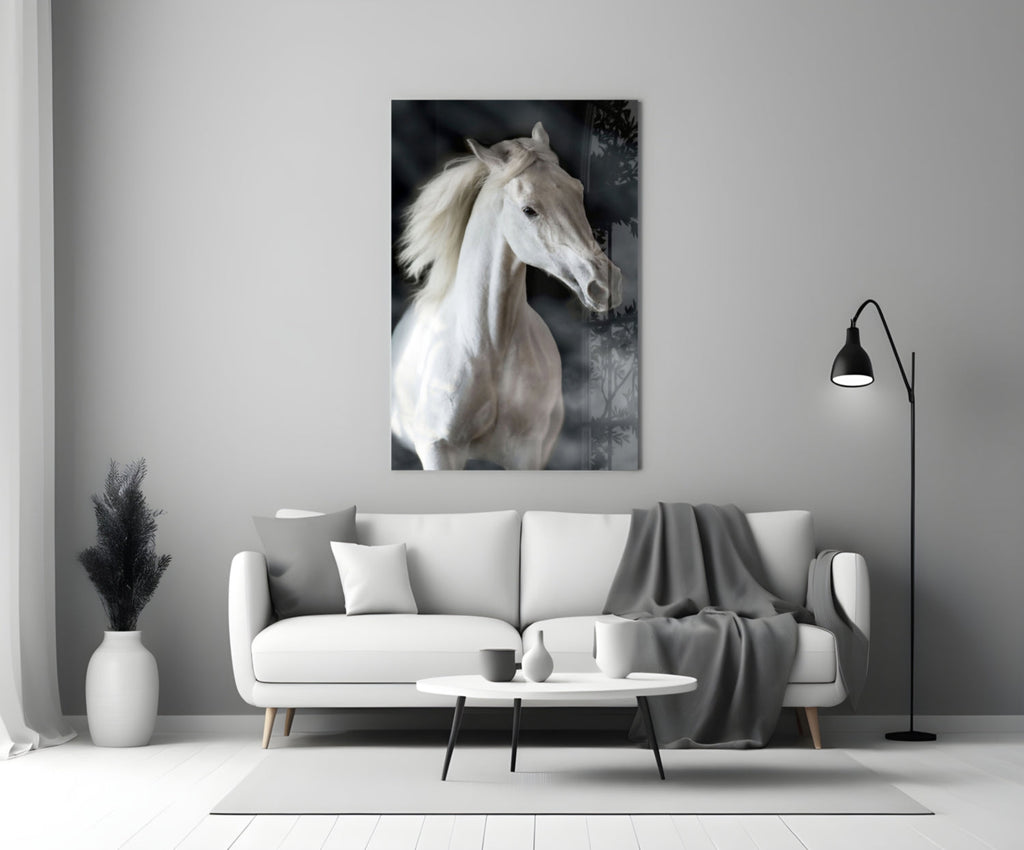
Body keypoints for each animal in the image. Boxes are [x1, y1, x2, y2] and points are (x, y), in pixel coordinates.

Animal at [391, 122, 623, 470]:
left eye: (577, 190)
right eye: (529, 210)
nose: (605, 284)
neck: (485, 349)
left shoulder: (526, 452)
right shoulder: (438, 451)